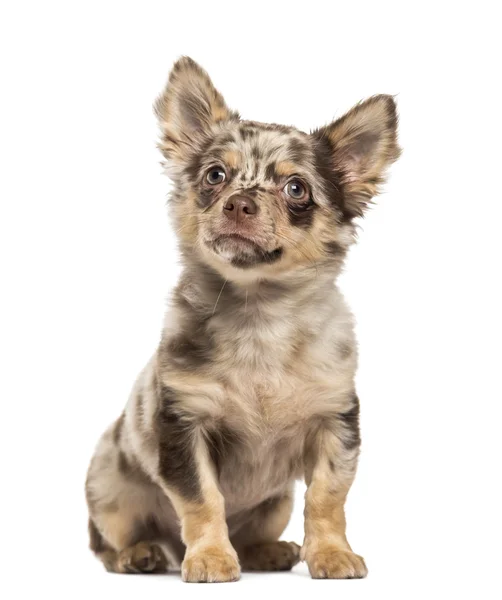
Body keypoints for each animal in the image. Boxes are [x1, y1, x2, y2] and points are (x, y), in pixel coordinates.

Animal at [85, 56, 400, 580]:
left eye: (296, 188)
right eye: (215, 176)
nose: (239, 202)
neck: (260, 316)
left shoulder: (335, 423)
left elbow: (327, 497)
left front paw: (331, 553)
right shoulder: (184, 427)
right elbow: (203, 500)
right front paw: (211, 557)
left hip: (274, 504)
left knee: (255, 532)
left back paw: (268, 552)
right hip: (110, 490)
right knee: (108, 544)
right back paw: (140, 554)